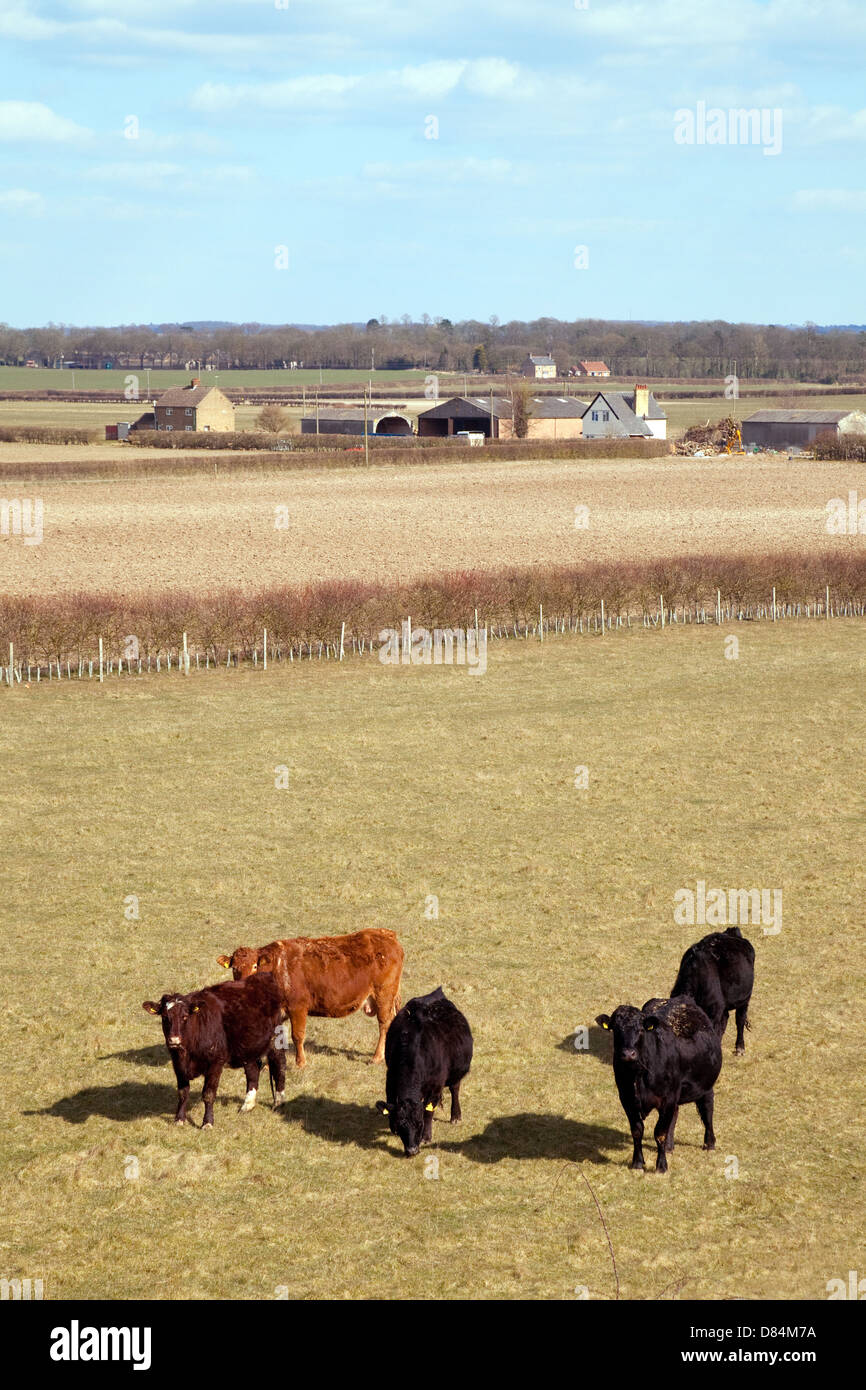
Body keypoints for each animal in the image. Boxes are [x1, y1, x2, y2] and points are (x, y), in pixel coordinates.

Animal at [142, 972, 287, 1127]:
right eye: (164, 1017)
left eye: (185, 1016)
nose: (174, 1040)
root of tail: (264, 976)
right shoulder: (178, 1064)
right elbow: (182, 1093)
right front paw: (179, 1119)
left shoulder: (216, 1063)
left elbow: (208, 1094)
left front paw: (207, 1122)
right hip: (247, 1048)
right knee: (253, 1070)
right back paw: (247, 1105)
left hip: (276, 1039)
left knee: (279, 1065)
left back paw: (278, 1102)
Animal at [217, 928, 403, 1068]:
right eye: (234, 968)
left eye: (255, 966)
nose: (242, 985)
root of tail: (387, 934)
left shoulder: (297, 1007)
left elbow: (297, 1035)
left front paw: (300, 1063)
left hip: (384, 994)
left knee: (384, 1023)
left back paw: (377, 1057)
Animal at [375, 987, 473, 1157]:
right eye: (401, 1124)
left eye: (419, 1124)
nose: (412, 1150)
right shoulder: (390, 1080)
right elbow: (390, 1102)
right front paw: (392, 1127)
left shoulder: (435, 1088)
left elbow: (428, 1112)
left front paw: (426, 1137)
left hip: (455, 1075)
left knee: (455, 1089)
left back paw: (455, 1116)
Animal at [595, 996, 722, 1173]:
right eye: (616, 1029)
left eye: (640, 1030)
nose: (628, 1054)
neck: (639, 1074)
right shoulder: (627, 1098)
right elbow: (637, 1130)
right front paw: (637, 1163)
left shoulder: (667, 1099)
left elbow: (659, 1132)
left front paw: (661, 1166)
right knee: (675, 1114)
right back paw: (669, 1146)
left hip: (706, 1087)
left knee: (707, 1111)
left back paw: (709, 1143)